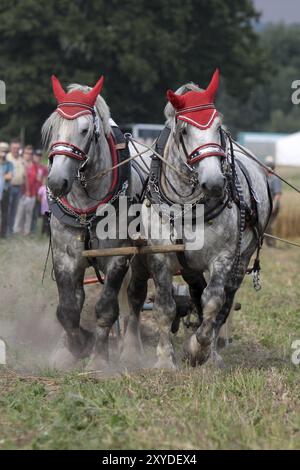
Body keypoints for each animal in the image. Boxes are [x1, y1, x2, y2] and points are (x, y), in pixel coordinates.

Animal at [42, 74, 150, 370]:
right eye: (52, 128)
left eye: (84, 130)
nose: (56, 182)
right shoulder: (65, 256)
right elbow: (68, 309)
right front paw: (73, 348)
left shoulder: (117, 257)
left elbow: (106, 309)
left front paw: (99, 357)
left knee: (135, 298)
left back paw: (131, 349)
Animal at [125, 70, 272, 370]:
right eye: (184, 131)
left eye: (218, 127)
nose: (214, 182)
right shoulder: (159, 255)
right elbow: (165, 306)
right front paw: (165, 360)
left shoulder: (225, 257)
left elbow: (213, 302)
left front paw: (197, 350)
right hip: (168, 261)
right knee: (155, 293)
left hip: (241, 259)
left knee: (224, 300)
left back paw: (212, 351)